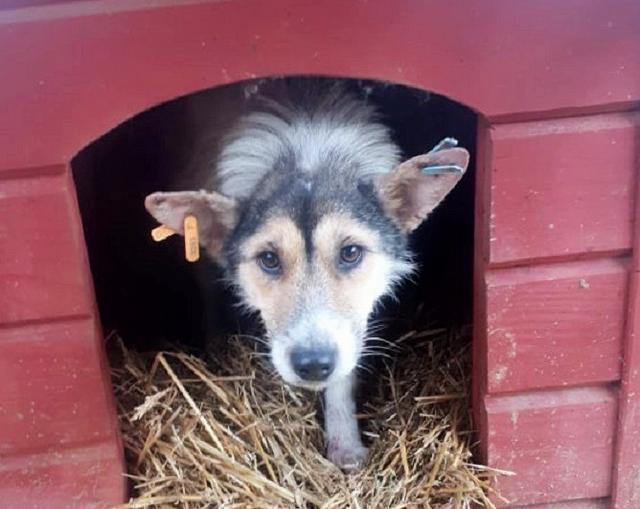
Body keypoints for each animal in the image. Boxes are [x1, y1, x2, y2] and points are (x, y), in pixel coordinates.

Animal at [145, 79, 470, 468]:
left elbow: (344, 376)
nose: (313, 365)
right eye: (269, 258)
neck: (308, 153)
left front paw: (345, 444)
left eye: (350, 253)